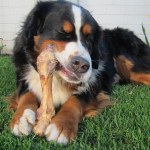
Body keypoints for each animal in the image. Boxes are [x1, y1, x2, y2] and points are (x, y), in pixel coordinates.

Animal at [9, 0, 150, 144]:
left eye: (89, 38)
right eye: (63, 32)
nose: (82, 65)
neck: (57, 78)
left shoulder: (95, 84)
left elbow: (76, 99)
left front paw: (62, 125)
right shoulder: (23, 76)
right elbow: (26, 94)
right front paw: (22, 118)